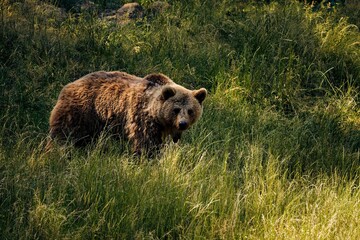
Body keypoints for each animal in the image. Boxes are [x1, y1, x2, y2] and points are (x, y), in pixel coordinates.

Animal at [47, 71, 208, 156]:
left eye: (190, 110)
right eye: (176, 109)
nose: (182, 123)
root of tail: (70, 84)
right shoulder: (142, 118)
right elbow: (146, 143)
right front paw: (149, 157)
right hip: (80, 112)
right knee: (63, 134)